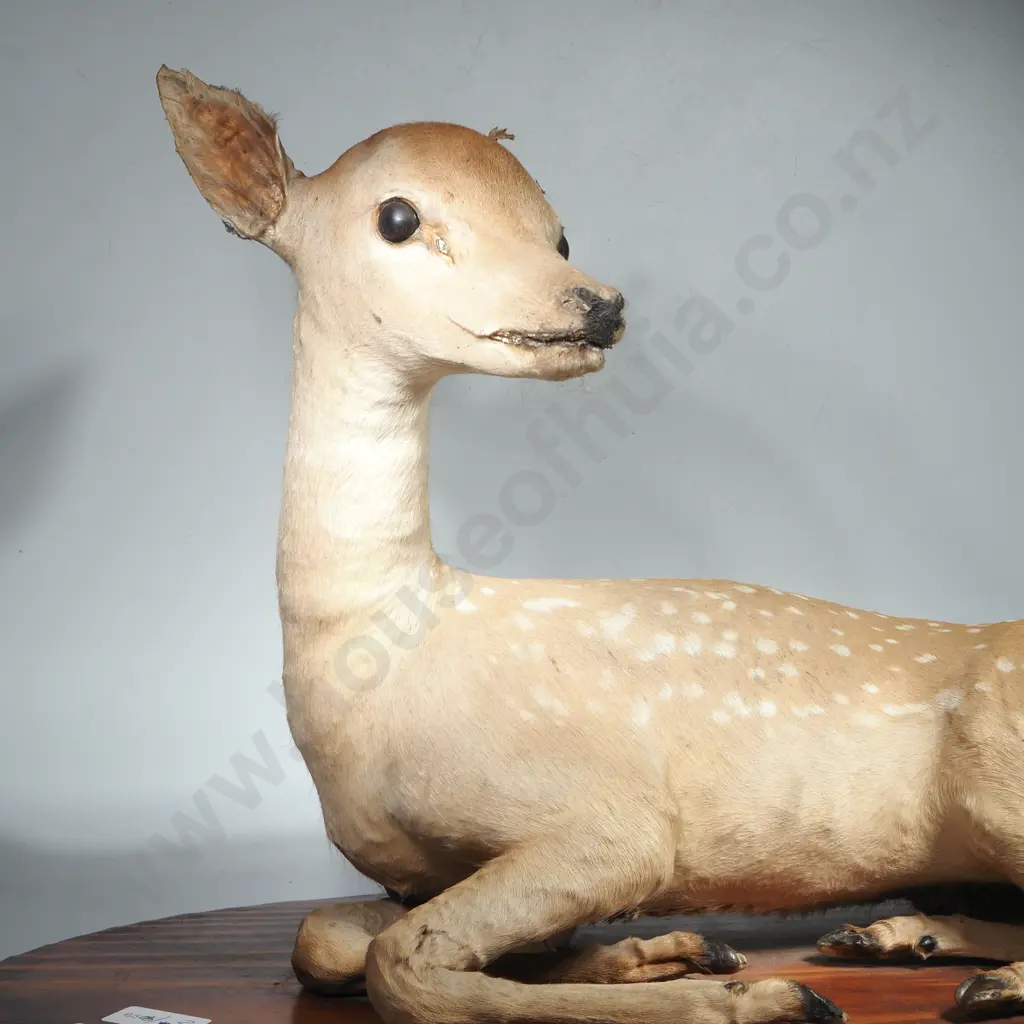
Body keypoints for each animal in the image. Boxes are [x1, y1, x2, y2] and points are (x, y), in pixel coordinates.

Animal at [156, 65, 1024, 1024]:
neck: (379, 669)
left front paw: (757, 995)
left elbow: (404, 967)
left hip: (998, 783)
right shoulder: (410, 875)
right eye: (398, 216)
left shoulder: (612, 817)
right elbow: (330, 940)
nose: (599, 304)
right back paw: (897, 938)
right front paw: (668, 952)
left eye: (560, 228)